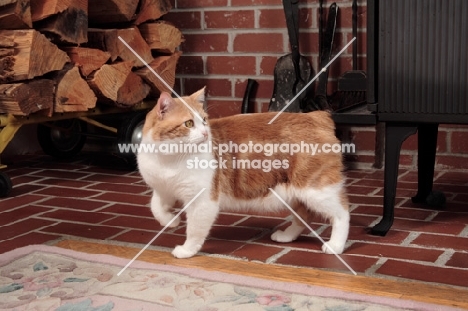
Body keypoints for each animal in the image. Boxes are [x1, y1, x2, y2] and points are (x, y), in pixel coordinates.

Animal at [137, 89, 350, 260]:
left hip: (316, 189)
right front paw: (171, 221)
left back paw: (336, 246)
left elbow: (194, 230)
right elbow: (155, 207)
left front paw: (187, 250)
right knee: (304, 216)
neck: (168, 160)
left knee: (342, 212)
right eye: (189, 123)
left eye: (204, 120)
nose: (205, 133)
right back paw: (286, 236)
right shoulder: (163, 190)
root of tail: (317, 116)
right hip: (293, 193)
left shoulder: (202, 202)